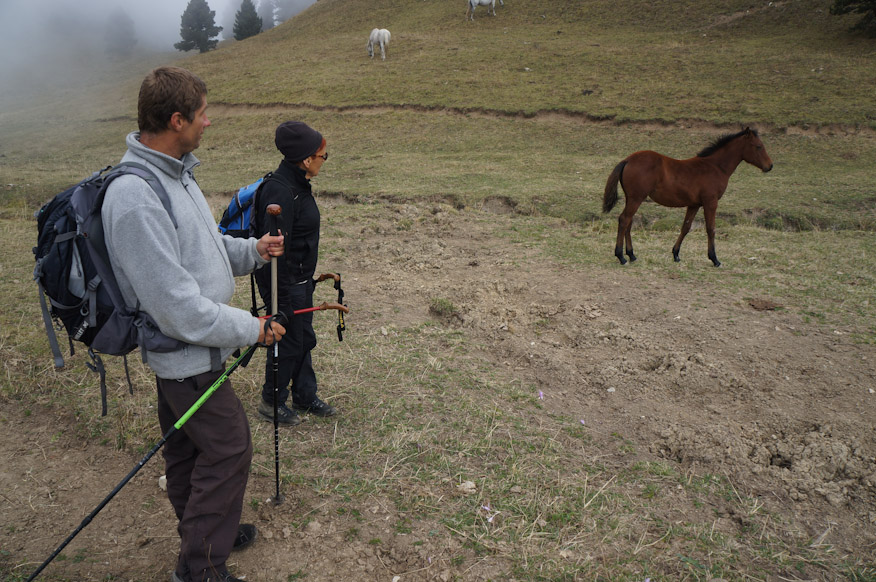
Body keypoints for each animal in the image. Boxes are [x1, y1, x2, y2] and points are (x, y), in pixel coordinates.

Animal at [602, 128, 773, 267]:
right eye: (758, 146)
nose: (770, 166)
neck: (716, 167)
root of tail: (628, 159)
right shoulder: (710, 202)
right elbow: (710, 228)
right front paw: (714, 259)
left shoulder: (694, 204)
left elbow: (686, 227)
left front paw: (676, 254)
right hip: (636, 198)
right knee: (624, 219)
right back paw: (621, 256)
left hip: (632, 198)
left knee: (629, 222)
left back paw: (631, 255)